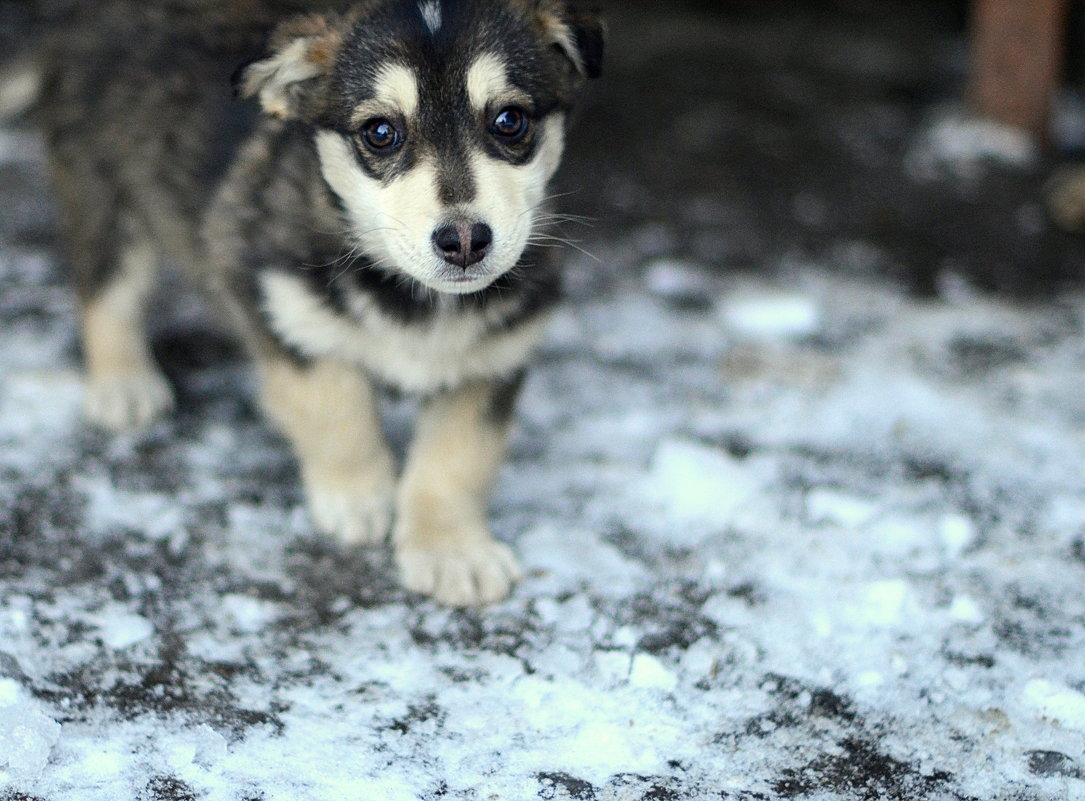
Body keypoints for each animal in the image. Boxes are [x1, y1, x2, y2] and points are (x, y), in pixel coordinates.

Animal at [40, 1, 603, 603]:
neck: (414, 298)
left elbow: (459, 456)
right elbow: (335, 404)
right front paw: (360, 497)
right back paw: (122, 383)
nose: (466, 241)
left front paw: (451, 550)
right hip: (104, 190)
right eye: (380, 132)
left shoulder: (498, 354)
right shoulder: (270, 294)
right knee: (107, 290)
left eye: (510, 121)